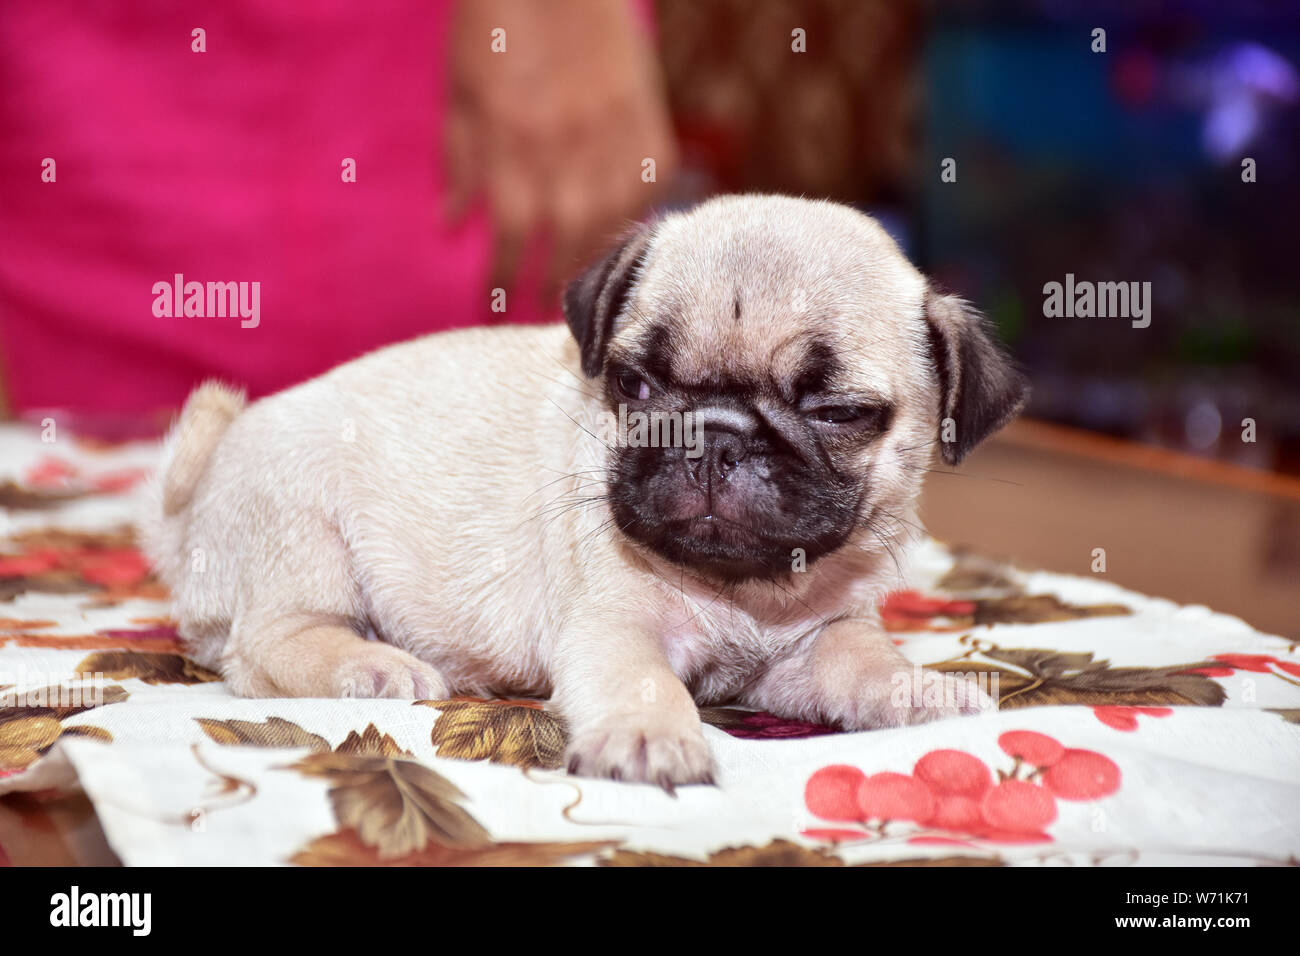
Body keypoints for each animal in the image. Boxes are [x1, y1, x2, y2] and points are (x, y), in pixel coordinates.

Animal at [147, 192, 1029, 785]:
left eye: (837, 412)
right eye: (634, 384)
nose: (715, 435)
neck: (744, 591)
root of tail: (196, 494)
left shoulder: (817, 644)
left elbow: (866, 661)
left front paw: (919, 688)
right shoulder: (614, 624)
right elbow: (644, 680)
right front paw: (650, 736)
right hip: (303, 531)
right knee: (263, 647)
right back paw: (376, 666)